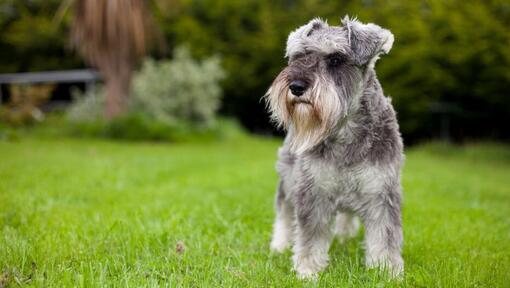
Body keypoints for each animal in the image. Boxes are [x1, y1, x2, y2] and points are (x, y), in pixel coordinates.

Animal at [264, 16, 404, 280]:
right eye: (299, 56)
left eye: (336, 59)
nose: (296, 86)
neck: (345, 131)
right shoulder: (312, 191)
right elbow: (310, 236)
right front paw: (308, 271)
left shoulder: (381, 192)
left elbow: (385, 235)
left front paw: (386, 271)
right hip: (288, 180)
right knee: (284, 212)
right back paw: (279, 244)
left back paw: (345, 236)